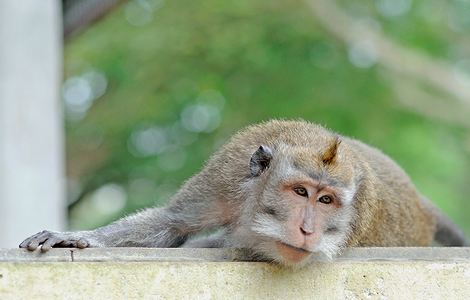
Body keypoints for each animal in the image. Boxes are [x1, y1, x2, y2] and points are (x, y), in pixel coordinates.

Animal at [20, 120, 468, 268]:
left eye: (326, 200)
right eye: (301, 191)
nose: (308, 229)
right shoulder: (228, 173)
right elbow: (173, 223)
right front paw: (81, 237)